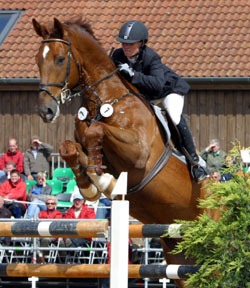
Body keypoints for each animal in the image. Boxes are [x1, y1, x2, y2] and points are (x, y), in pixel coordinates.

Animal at [32, 18, 209, 288]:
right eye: (37, 60)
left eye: (60, 59)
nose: (46, 111)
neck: (105, 99)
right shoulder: (81, 142)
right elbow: (70, 147)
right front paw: (90, 185)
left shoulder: (138, 154)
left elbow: (96, 131)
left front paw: (104, 180)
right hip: (178, 252)